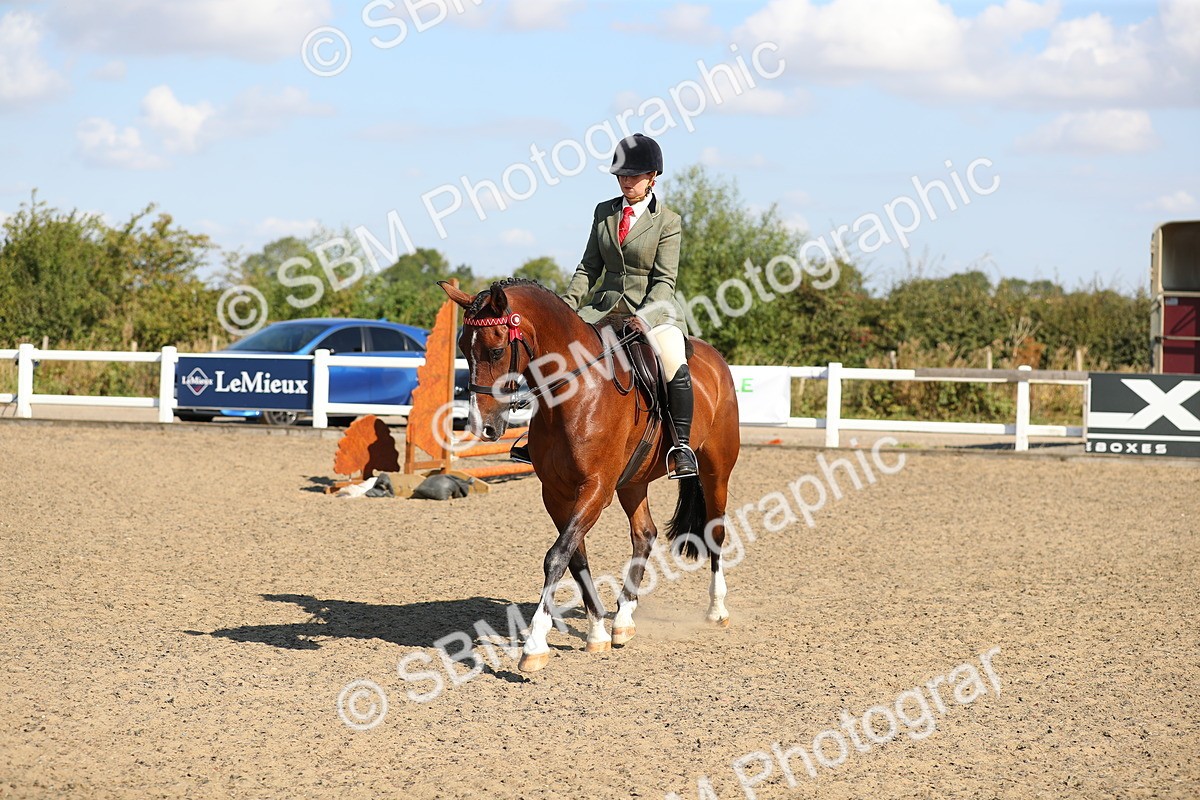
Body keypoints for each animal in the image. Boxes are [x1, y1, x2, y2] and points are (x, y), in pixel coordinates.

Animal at [439, 278, 741, 672]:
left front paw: (534, 645)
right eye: (462, 347)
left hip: (716, 468)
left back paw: (717, 609)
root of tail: (715, 359)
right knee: (644, 534)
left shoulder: (596, 488)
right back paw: (623, 620)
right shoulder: (556, 493)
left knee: (715, 530)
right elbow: (575, 557)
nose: (481, 427)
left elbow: (556, 556)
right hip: (634, 481)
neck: (576, 392)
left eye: (496, 350)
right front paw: (598, 631)